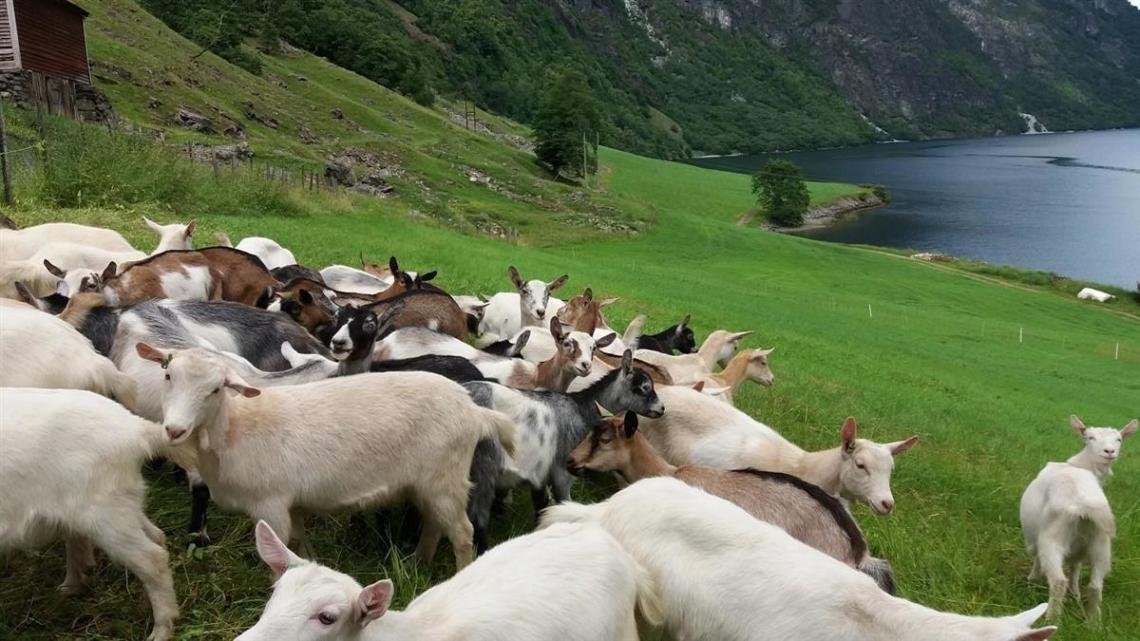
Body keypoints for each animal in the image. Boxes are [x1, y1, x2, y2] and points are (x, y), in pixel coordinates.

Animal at [0, 388, 184, 641]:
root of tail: (137, 429)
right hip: (120, 504)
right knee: (156, 536)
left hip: (105, 514)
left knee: (152, 559)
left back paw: (162, 629)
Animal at [136, 343, 516, 570]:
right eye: (167, 375)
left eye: (216, 390)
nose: (174, 430)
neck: (235, 430)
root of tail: (473, 410)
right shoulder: (293, 504)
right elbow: (297, 543)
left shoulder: (271, 506)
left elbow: (279, 553)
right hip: (427, 483)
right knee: (435, 524)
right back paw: (417, 564)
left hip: (445, 479)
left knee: (463, 533)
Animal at [1020, 415, 1137, 622]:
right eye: (1090, 437)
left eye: (1119, 439)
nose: (1109, 451)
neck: (1080, 466)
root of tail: (1085, 504)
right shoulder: (1080, 548)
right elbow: (1076, 566)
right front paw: (1074, 593)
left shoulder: (1033, 537)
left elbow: (1036, 558)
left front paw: (1032, 580)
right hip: (1101, 544)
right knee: (1095, 586)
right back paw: (1093, 621)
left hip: (1052, 537)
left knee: (1058, 581)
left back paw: (1052, 618)